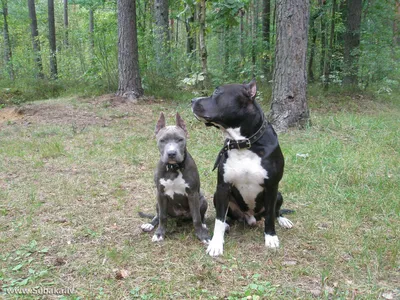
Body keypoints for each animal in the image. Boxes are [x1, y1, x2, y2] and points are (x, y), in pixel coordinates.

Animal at [140, 112, 211, 244]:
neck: (173, 169)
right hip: (157, 202)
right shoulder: (160, 194)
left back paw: (204, 225)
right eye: (162, 140)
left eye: (180, 139)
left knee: (201, 215)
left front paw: (202, 235)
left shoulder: (192, 194)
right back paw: (150, 224)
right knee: (158, 215)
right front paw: (159, 233)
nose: (171, 153)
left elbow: (197, 217)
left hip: (202, 199)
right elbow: (162, 217)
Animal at [192, 80, 292, 258]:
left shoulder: (272, 186)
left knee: (275, 211)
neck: (243, 143)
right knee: (227, 216)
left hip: (279, 194)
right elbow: (219, 219)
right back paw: (228, 224)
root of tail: (251, 217)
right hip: (218, 196)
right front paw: (216, 244)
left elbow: (270, 216)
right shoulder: (223, 187)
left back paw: (282, 219)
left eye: (217, 92)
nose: (192, 100)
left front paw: (271, 237)